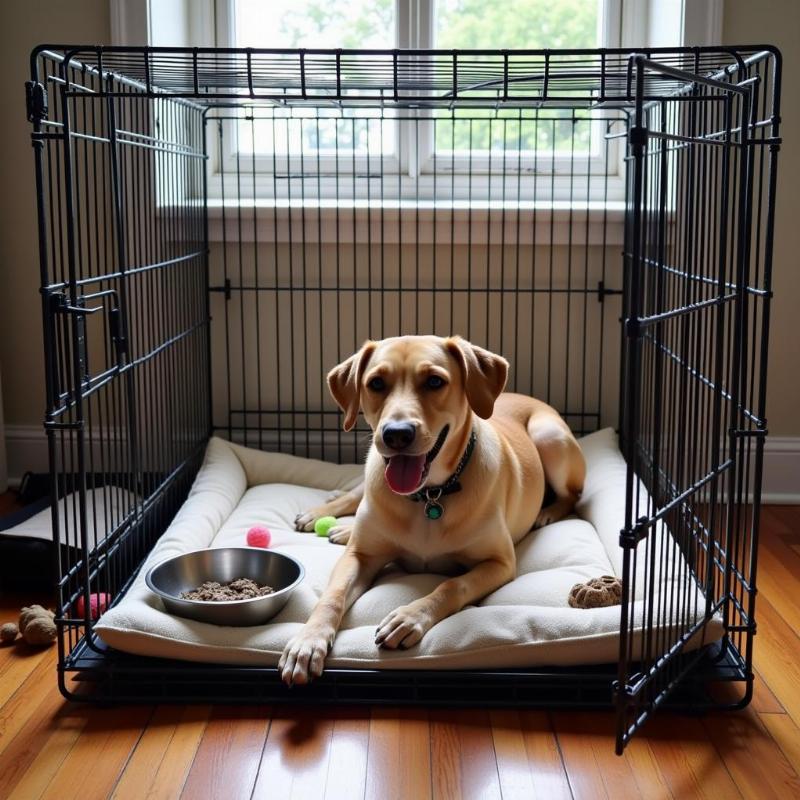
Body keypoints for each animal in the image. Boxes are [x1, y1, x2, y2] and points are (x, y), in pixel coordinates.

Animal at [278, 334, 584, 684]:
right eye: (376, 383)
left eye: (435, 381)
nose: (396, 434)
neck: (429, 495)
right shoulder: (360, 556)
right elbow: (332, 596)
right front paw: (307, 641)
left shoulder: (501, 563)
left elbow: (452, 584)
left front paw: (409, 617)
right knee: (355, 495)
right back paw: (329, 519)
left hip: (551, 438)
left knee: (573, 494)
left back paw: (548, 512)